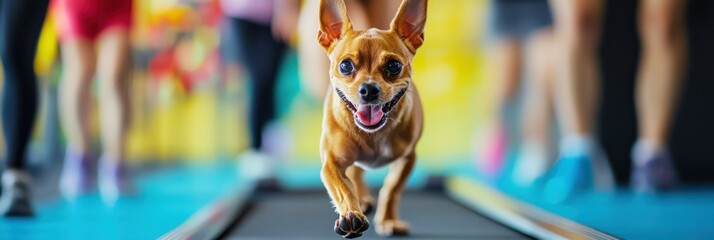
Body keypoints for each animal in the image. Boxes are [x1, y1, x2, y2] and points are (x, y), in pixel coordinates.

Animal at [316, 0, 426, 237]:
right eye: (345, 65)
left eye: (394, 66)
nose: (368, 88)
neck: (373, 134)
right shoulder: (331, 163)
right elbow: (344, 189)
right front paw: (351, 214)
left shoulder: (407, 159)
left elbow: (391, 189)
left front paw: (388, 220)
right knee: (355, 174)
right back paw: (362, 200)